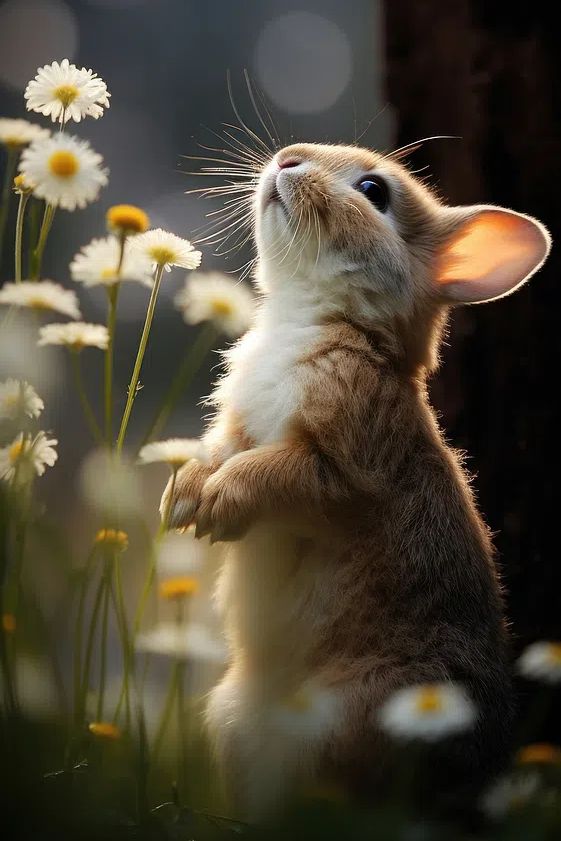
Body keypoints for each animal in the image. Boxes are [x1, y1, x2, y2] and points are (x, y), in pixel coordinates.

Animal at [161, 142, 551, 820]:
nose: (287, 160)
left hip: (351, 718)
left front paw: (216, 506)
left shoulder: (340, 465)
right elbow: (216, 453)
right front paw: (180, 501)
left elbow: (268, 473)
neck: (321, 320)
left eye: (374, 191)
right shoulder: (237, 430)